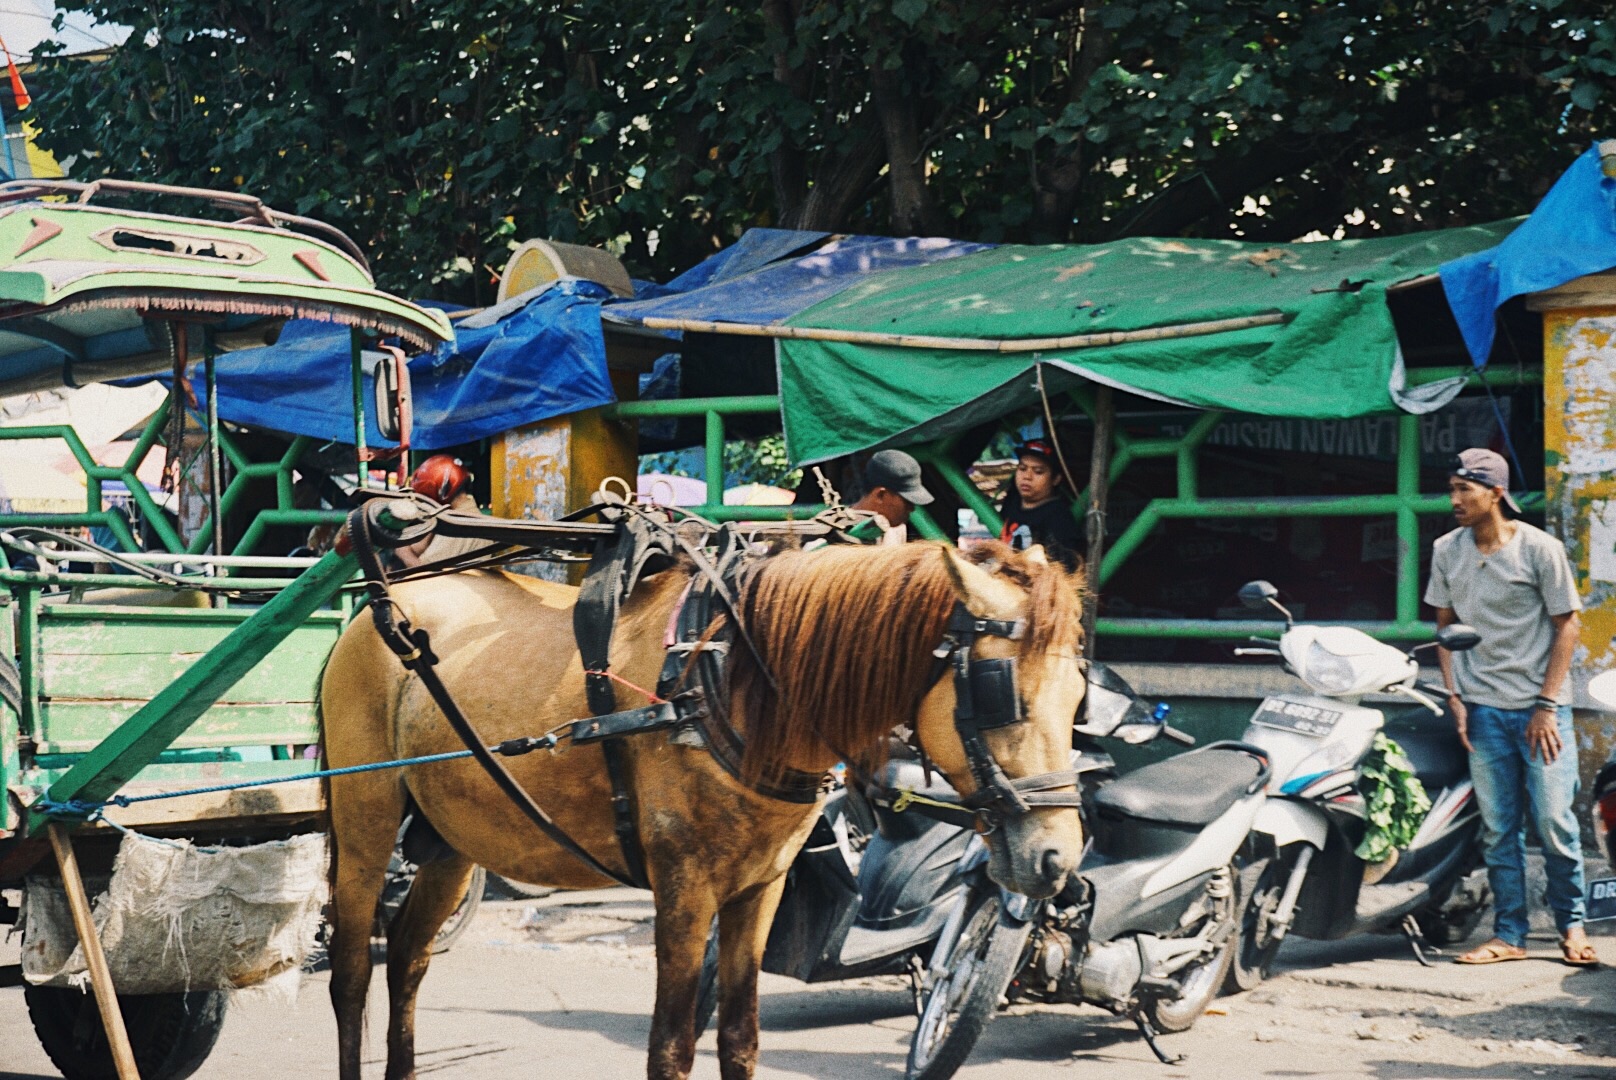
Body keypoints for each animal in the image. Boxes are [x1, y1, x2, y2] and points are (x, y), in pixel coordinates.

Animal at [318, 540, 1085, 1080]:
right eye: (1000, 690)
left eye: (1079, 694)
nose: (1057, 858)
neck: (734, 685)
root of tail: (380, 605)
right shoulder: (684, 890)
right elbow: (672, 1047)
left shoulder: (760, 887)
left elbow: (740, 1039)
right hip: (365, 822)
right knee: (352, 972)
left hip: (454, 835)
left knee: (408, 957)